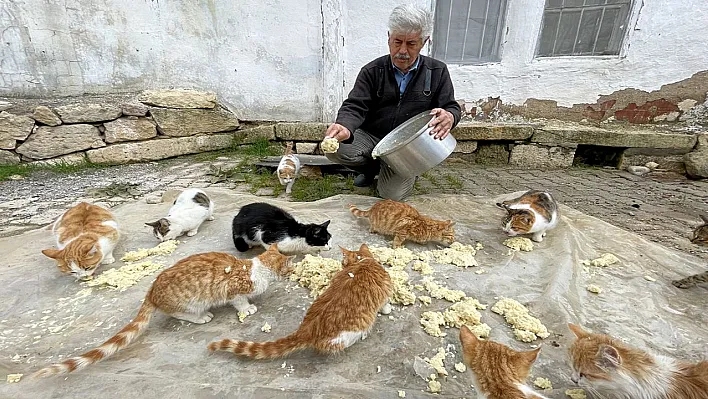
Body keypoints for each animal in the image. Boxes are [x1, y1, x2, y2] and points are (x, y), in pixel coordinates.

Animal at [32, 245, 294, 380]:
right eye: (289, 269)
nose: (292, 273)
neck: (256, 269)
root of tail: (151, 291)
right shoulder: (233, 290)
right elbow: (239, 302)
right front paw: (247, 308)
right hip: (191, 302)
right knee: (179, 314)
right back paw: (201, 317)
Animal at [207, 244, 396, 360]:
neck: (362, 262)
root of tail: (306, 330)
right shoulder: (386, 290)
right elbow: (385, 304)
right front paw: (386, 309)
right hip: (350, 332)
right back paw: (364, 334)